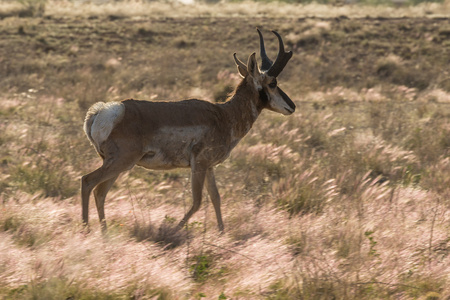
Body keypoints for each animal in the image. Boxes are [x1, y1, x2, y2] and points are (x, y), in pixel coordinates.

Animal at [81, 28, 296, 232]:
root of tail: (105, 110)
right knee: (87, 181)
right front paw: (172, 230)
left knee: (100, 192)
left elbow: (216, 198)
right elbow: (198, 201)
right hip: (120, 162)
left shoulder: (209, 167)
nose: (292, 106)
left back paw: (104, 234)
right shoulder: (199, 165)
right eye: (273, 83)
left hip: (118, 165)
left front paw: (222, 234)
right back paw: (87, 230)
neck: (224, 115)